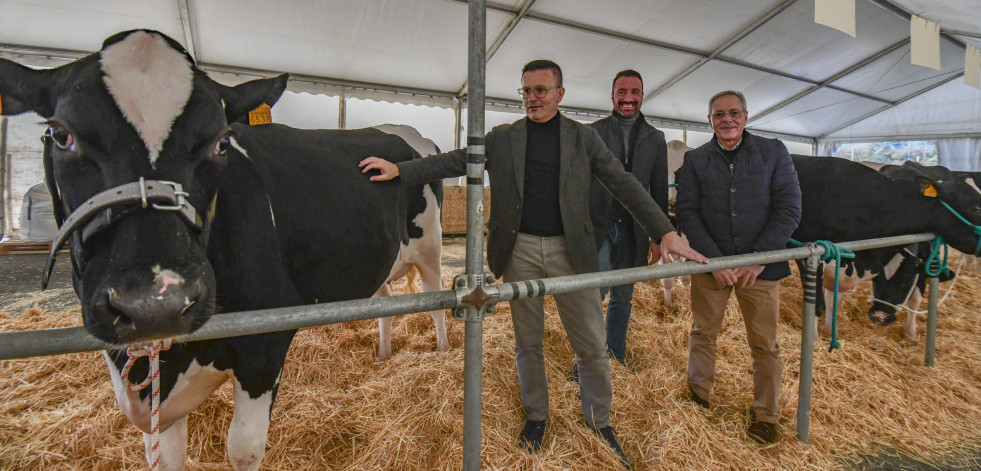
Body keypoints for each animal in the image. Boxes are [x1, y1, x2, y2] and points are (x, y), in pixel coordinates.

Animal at [0, 30, 442, 471]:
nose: (154, 304)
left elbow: (243, 448)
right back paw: (383, 354)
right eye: (61, 135)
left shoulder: (265, 341)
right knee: (384, 301)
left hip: (431, 249)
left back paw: (442, 351)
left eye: (220, 141)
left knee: (435, 301)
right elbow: (167, 456)